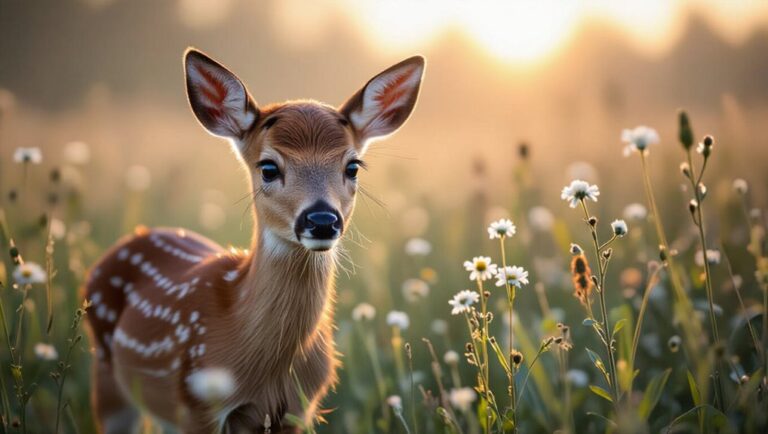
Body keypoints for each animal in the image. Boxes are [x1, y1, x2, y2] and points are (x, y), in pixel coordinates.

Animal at [84, 47, 425, 433]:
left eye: (352, 166)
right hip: (108, 380)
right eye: (269, 168)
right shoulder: (197, 404)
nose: (322, 220)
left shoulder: (300, 410)